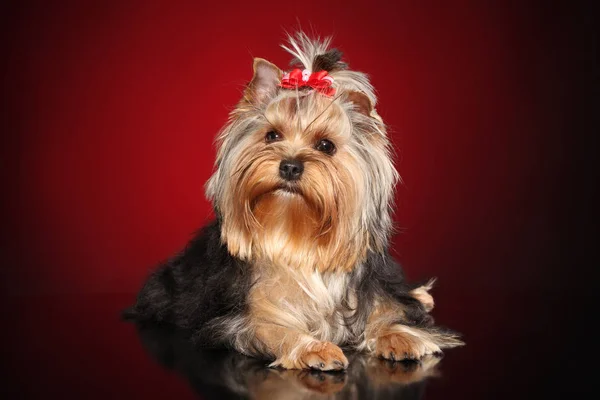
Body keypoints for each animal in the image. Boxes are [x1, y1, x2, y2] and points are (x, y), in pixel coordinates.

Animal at [124, 32, 464, 372]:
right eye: (272, 135)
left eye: (326, 145)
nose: (289, 166)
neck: (295, 233)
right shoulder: (237, 318)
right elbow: (270, 327)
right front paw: (313, 347)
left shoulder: (371, 285)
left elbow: (388, 311)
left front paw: (400, 336)